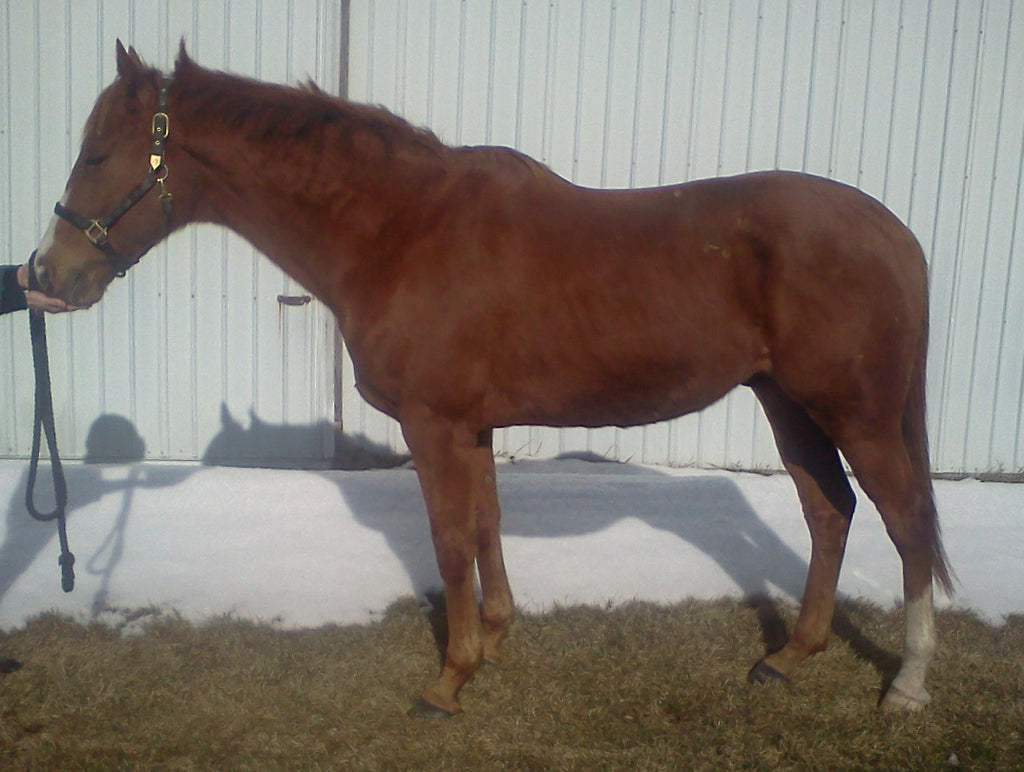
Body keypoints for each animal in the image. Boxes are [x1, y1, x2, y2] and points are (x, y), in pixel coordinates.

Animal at [33, 42, 953, 717]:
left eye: (97, 153)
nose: (46, 273)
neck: (402, 230)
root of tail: (895, 231)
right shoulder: (472, 424)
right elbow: (484, 526)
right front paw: (497, 640)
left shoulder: (434, 423)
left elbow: (448, 540)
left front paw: (448, 681)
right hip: (788, 403)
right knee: (829, 511)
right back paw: (790, 657)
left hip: (858, 414)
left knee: (905, 523)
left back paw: (908, 685)